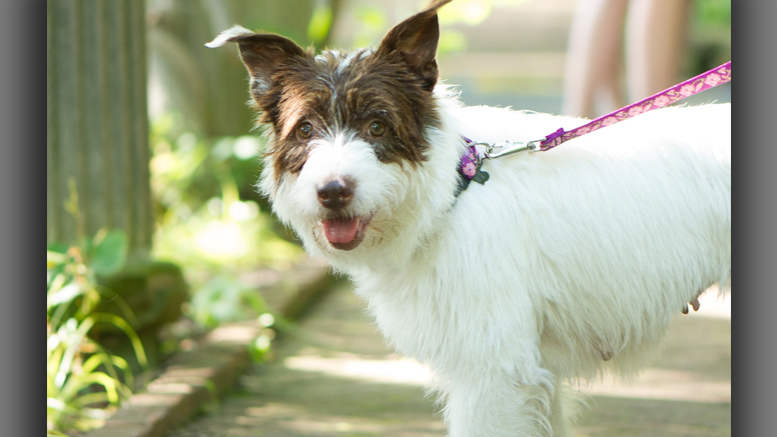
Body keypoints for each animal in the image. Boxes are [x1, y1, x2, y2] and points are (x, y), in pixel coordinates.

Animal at [206, 1, 728, 434]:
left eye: (377, 125)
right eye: (306, 129)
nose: (333, 191)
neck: (453, 190)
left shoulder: (494, 373)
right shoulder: (532, 373)